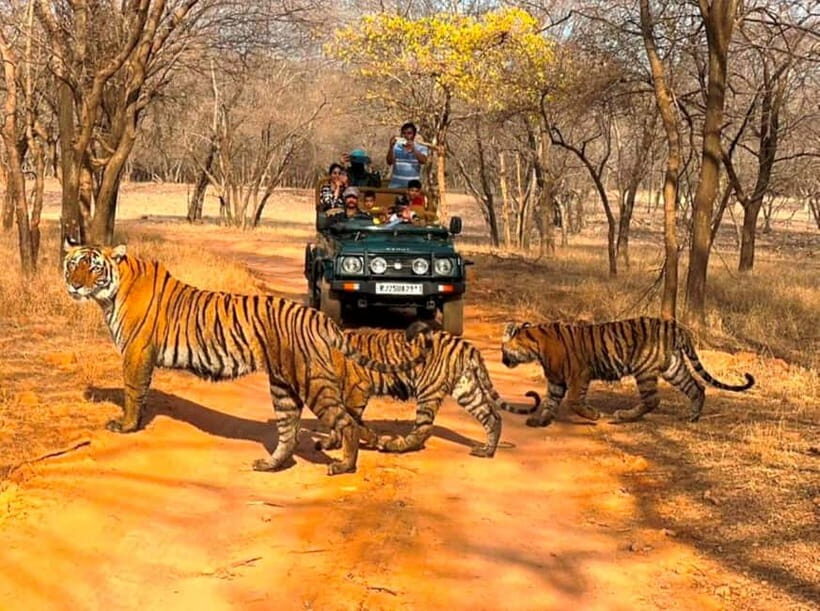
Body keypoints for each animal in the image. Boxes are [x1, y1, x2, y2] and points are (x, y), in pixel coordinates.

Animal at [63, 242, 425, 476]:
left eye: (92, 267)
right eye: (72, 265)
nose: (74, 286)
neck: (110, 293)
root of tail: (317, 316)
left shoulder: (136, 351)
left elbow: (132, 392)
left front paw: (126, 426)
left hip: (312, 382)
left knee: (346, 422)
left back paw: (344, 466)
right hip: (283, 386)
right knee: (289, 431)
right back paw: (270, 465)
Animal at [318, 321, 536, 458]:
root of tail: (466, 346)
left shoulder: (357, 389)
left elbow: (347, 419)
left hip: (428, 389)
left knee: (423, 427)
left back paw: (393, 446)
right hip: (466, 388)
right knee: (492, 416)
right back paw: (486, 452)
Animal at [500, 316, 755, 426]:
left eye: (503, 349)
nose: (502, 361)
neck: (536, 347)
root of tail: (676, 327)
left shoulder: (579, 374)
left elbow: (573, 401)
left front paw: (594, 415)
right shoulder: (556, 380)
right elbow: (550, 401)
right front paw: (540, 420)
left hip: (644, 369)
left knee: (652, 400)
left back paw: (622, 416)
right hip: (673, 368)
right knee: (697, 387)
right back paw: (692, 417)